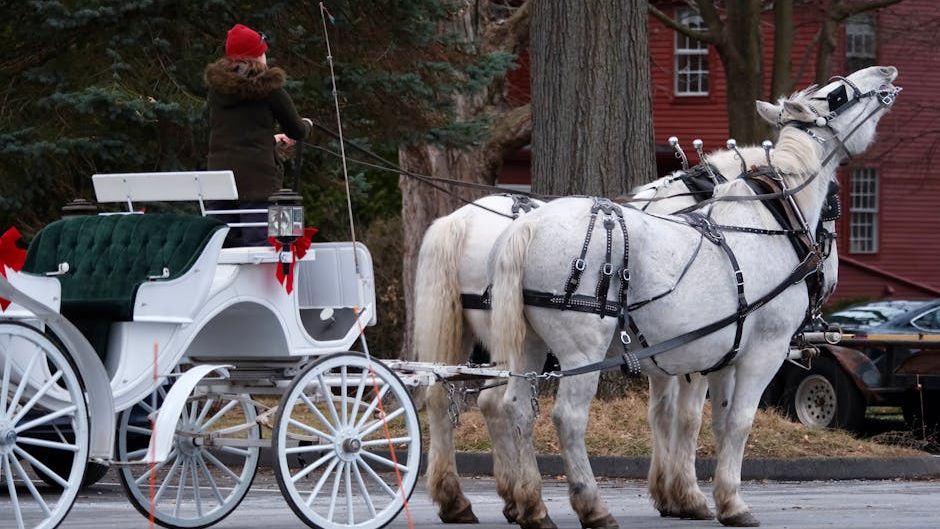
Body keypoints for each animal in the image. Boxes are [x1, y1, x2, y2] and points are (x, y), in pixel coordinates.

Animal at [487, 65, 899, 528]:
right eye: (837, 93)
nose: (884, 71)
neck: (770, 221)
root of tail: (529, 224)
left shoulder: (719, 357)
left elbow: (710, 422)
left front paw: (703, 496)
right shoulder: (763, 350)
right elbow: (737, 422)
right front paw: (730, 503)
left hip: (529, 345)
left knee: (516, 409)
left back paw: (532, 506)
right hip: (581, 350)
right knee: (568, 418)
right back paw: (592, 505)